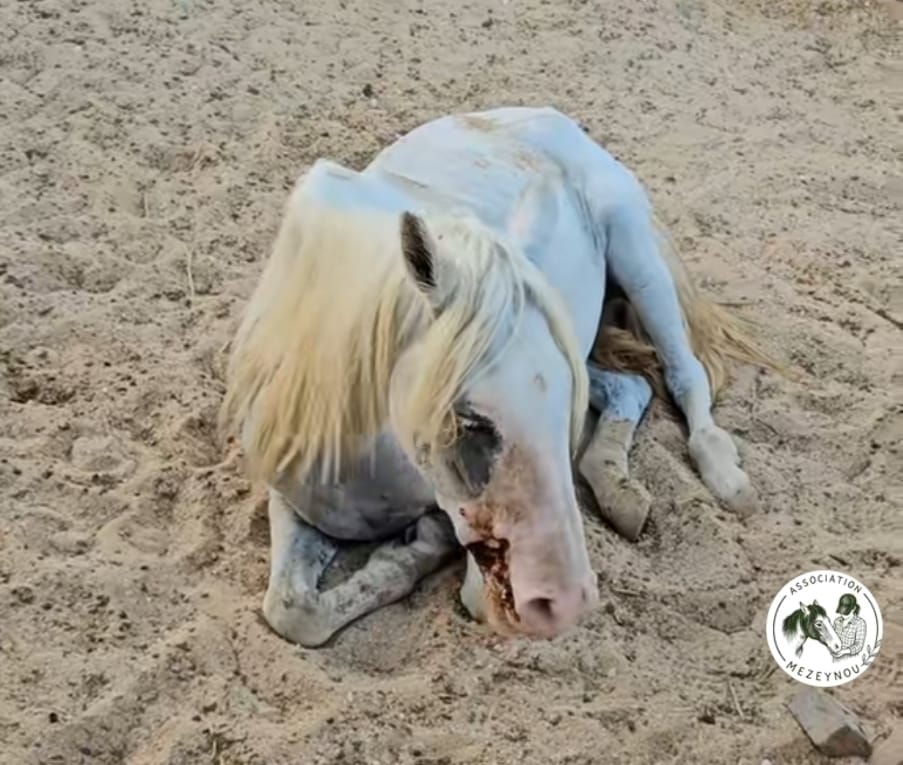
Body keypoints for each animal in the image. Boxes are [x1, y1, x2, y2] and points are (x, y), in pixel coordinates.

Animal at [219, 106, 779, 647]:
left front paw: (411, 548)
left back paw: (724, 475)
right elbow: (294, 611)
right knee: (633, 386)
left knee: (686, 377)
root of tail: (546, 116)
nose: (566, 602)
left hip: (637, 257)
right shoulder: (295, 497)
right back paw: (616, 485)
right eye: (467, 419)